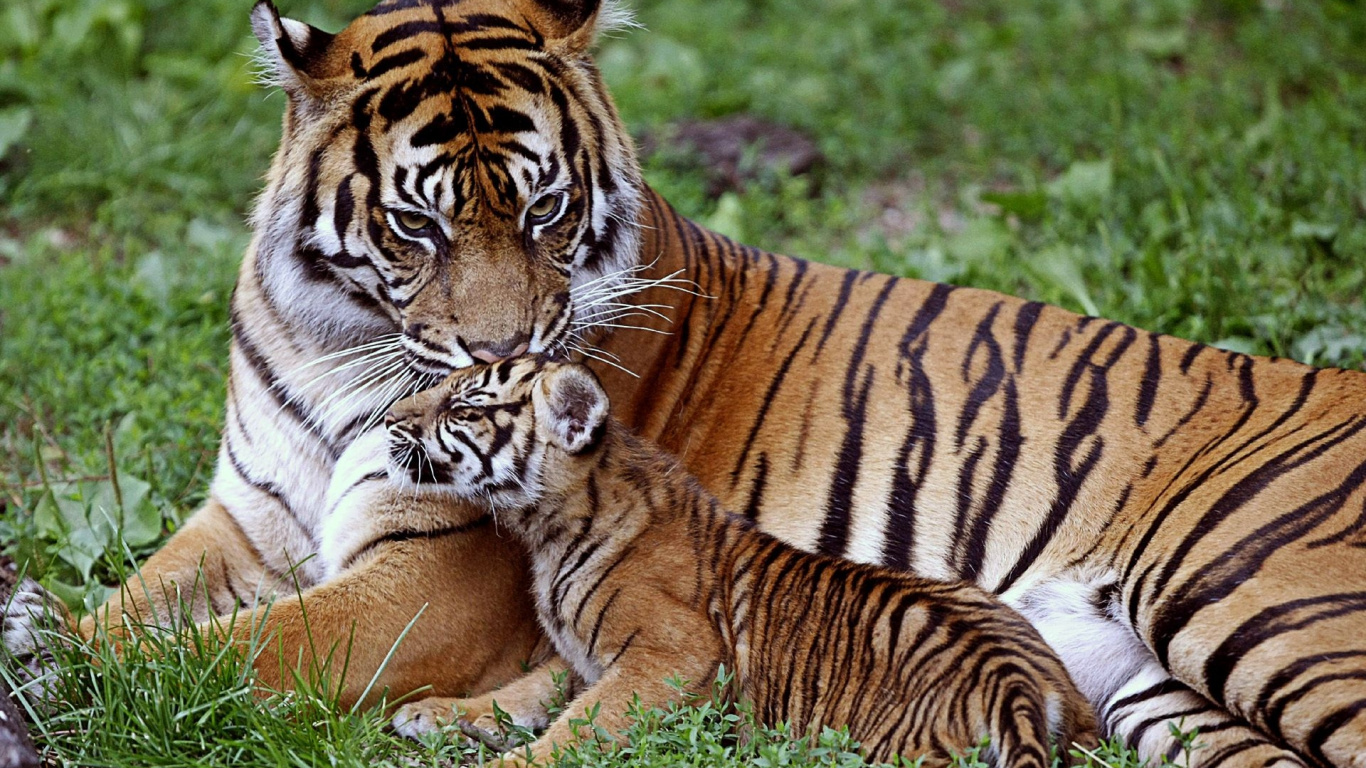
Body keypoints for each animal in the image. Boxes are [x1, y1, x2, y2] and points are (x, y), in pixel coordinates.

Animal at [372, 356, 1099, 767]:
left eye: (462, 408)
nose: (387, 420)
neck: (546, 528)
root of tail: (1018, 682)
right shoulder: (581, 656)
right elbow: (525, 690)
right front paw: (435, 712)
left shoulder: (672, 652)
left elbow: (580, 726)